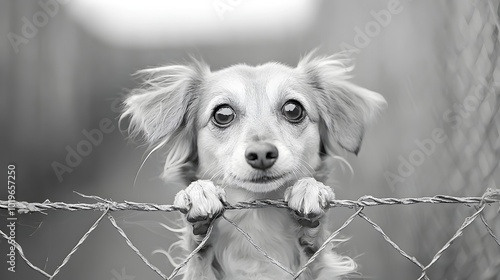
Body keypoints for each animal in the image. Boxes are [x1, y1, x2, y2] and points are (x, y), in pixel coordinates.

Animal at [121, 50, 386, 280]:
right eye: (223, 114)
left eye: (293, 109)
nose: (261, 153)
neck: (259, 219)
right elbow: (198, 259)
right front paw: (198, 194)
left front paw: (310, 193)